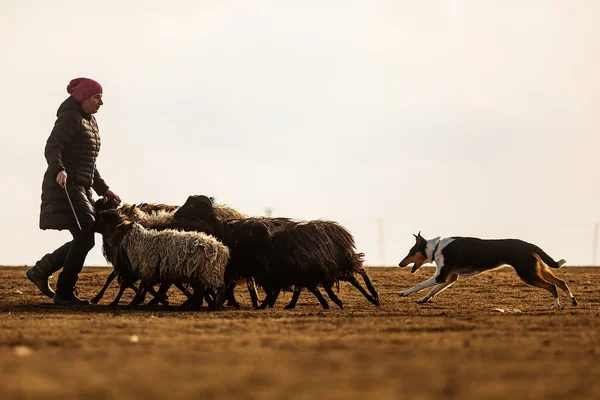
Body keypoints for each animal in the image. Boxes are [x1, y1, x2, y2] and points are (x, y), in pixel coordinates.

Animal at [95, 209, 229, 310]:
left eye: (119, 229)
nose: (110, 241)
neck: (140, 241)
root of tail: (222, 249)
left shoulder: (149, 267)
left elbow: (143, 285)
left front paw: (134, 301)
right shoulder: (154, 271)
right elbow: (146, 285)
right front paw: (158, 300)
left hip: (207, 272)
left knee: (218, 288)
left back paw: (213, 305)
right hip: (197, 273)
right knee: (201, 290)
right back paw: (188, 305)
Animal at [398, 231, 576, 310]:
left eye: (411, 251)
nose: (400, 264)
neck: (436, 248)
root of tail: (529, 245)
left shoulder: (441, 276)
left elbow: (420, 285)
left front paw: (403, 292)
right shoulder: (450, 278)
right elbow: (433, 290)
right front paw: (423, 299)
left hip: (528, 274)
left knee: (552, 286)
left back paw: (556, 305)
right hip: (537, 270)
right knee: (561, 282)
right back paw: (572, 300)